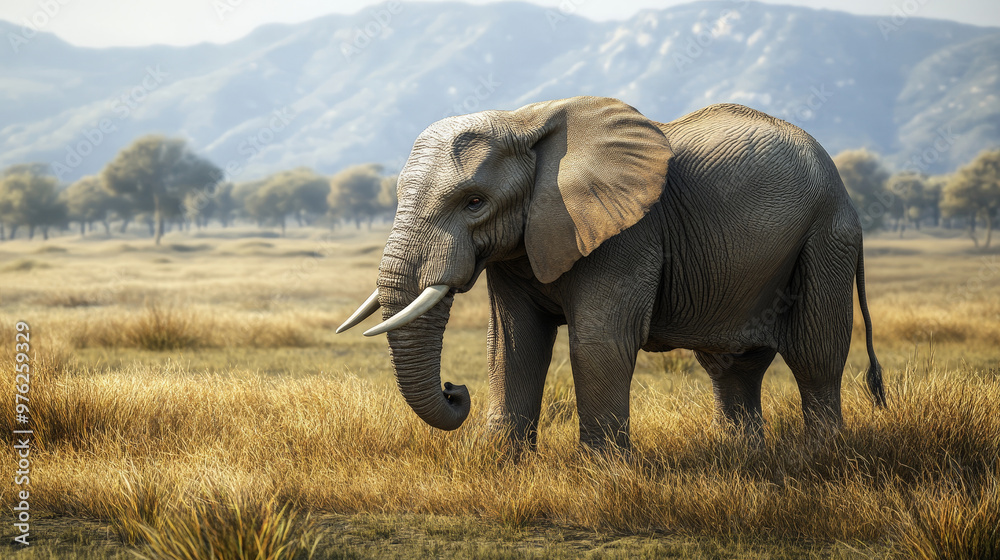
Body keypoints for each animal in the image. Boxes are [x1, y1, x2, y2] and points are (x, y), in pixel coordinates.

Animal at [337, 96, 886, 451]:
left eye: (474, 202)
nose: (456, 390)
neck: (525, 120)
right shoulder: (519, 244)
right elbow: (513, 341)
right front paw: (500, 462)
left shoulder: (625, 233)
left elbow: (599, 340)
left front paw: (603, 471)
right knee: (732, 363)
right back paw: (741, 456)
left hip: (827, 235)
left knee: (815, 351)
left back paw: (820, 458)